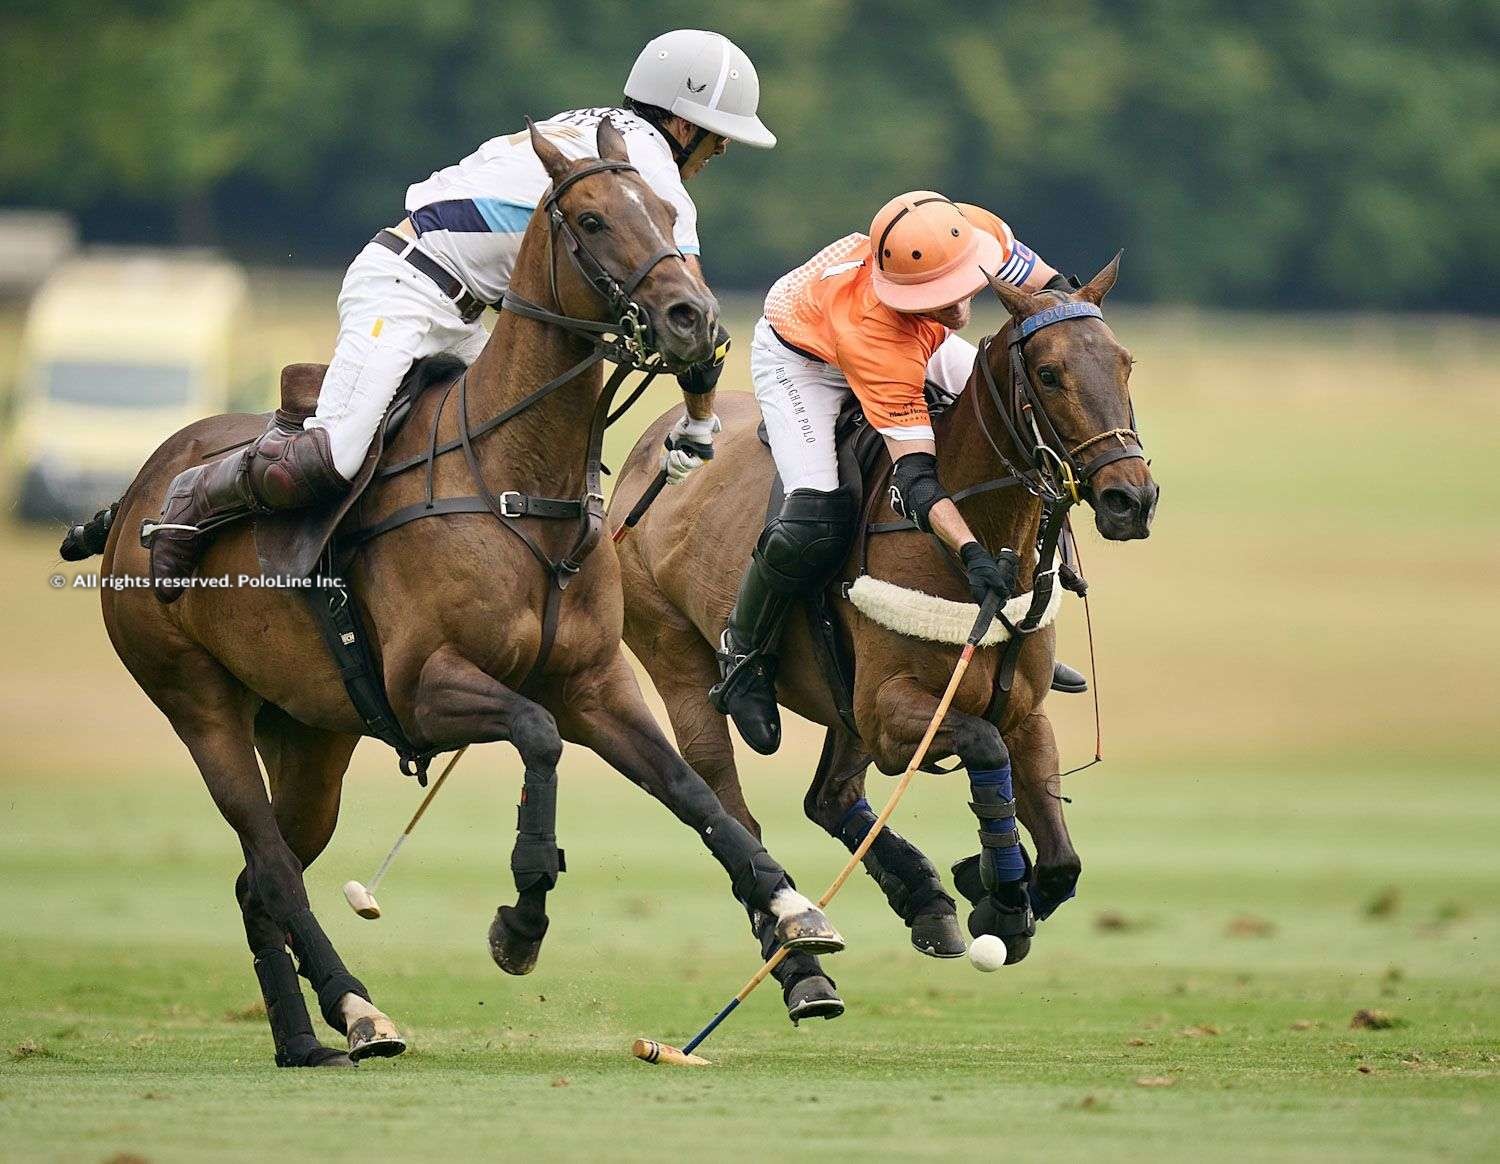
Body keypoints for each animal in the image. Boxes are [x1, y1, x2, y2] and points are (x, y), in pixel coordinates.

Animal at [61, 120, 846, 1074]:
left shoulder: (595, 685)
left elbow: (689, 790)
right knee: (273, 863)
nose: (693, 320)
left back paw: (302, 1041)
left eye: (668, 213)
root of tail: (136, 488)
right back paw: (359, 1011)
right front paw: (523, 917)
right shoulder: (425, 686)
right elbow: (539, 738)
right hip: (196, 702)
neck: (516, 481)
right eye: (591, 218)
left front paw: (795, 911)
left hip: (309, 731)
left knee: (260, 877)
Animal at [615, 264, 1152, 1020]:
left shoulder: (1023, 709)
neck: (979, 540)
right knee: (727, 807)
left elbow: (1060, 859)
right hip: (681, 663)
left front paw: (993, 890)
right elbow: (985, 748)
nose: (1131, 500)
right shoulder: (895, 709)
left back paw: (924, 900)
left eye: (1125, 363)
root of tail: (650, 451)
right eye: (1048, 374)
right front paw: (999, 899)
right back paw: (802, 965)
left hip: (844, 702)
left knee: (829, 797)